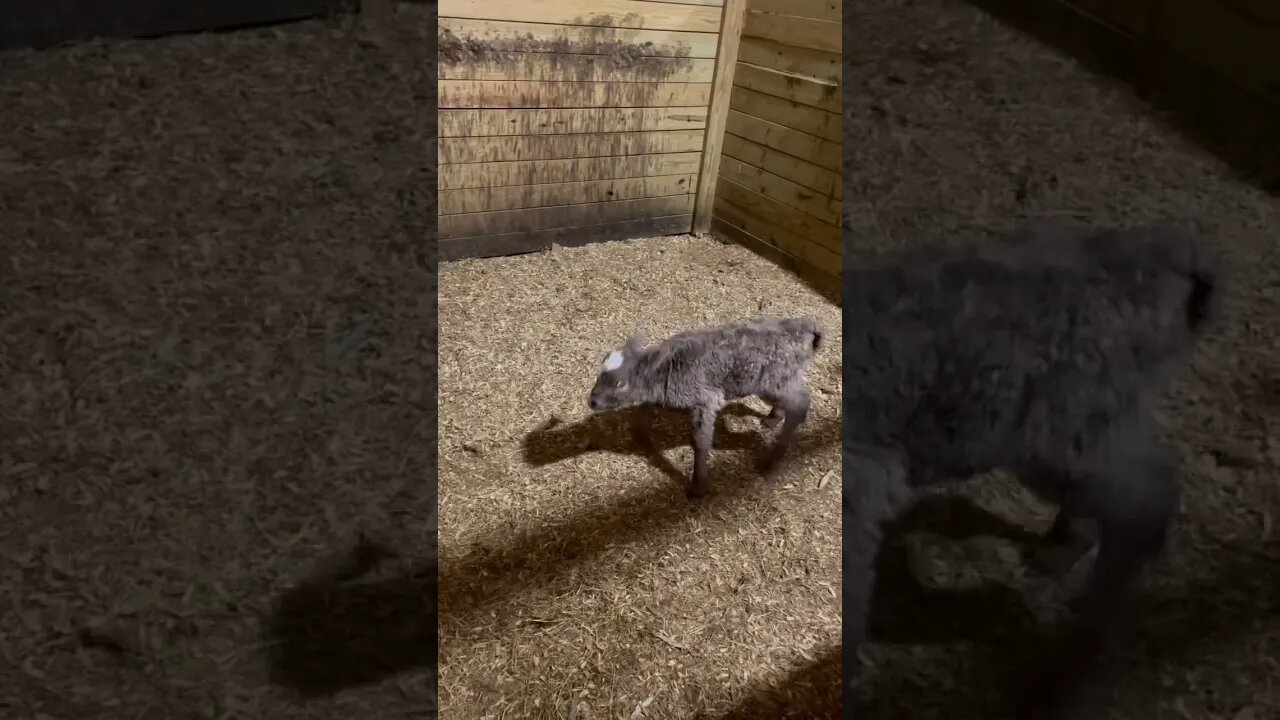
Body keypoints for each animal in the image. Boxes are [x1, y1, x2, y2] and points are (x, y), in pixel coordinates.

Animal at [586, 316, 819, 497]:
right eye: (598, 375)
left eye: (619, 383)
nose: (592, 401)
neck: (668, 367)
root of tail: (802, 326)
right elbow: (643, 411)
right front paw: (641, 436)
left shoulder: (706, 401)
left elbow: (701, 441)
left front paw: (698, 486)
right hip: (779, 380)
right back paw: (772, 419)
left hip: (771, 380)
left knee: (800, 403)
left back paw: (772, 461)